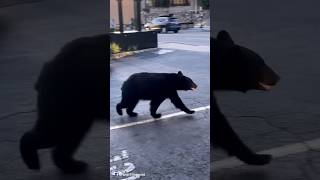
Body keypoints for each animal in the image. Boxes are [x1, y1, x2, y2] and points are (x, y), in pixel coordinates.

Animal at [19, 34, 108, 174]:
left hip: (77, 104)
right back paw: (33, 162)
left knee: (70, 134)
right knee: (55, 131)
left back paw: (72, 165)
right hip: (68, 97)